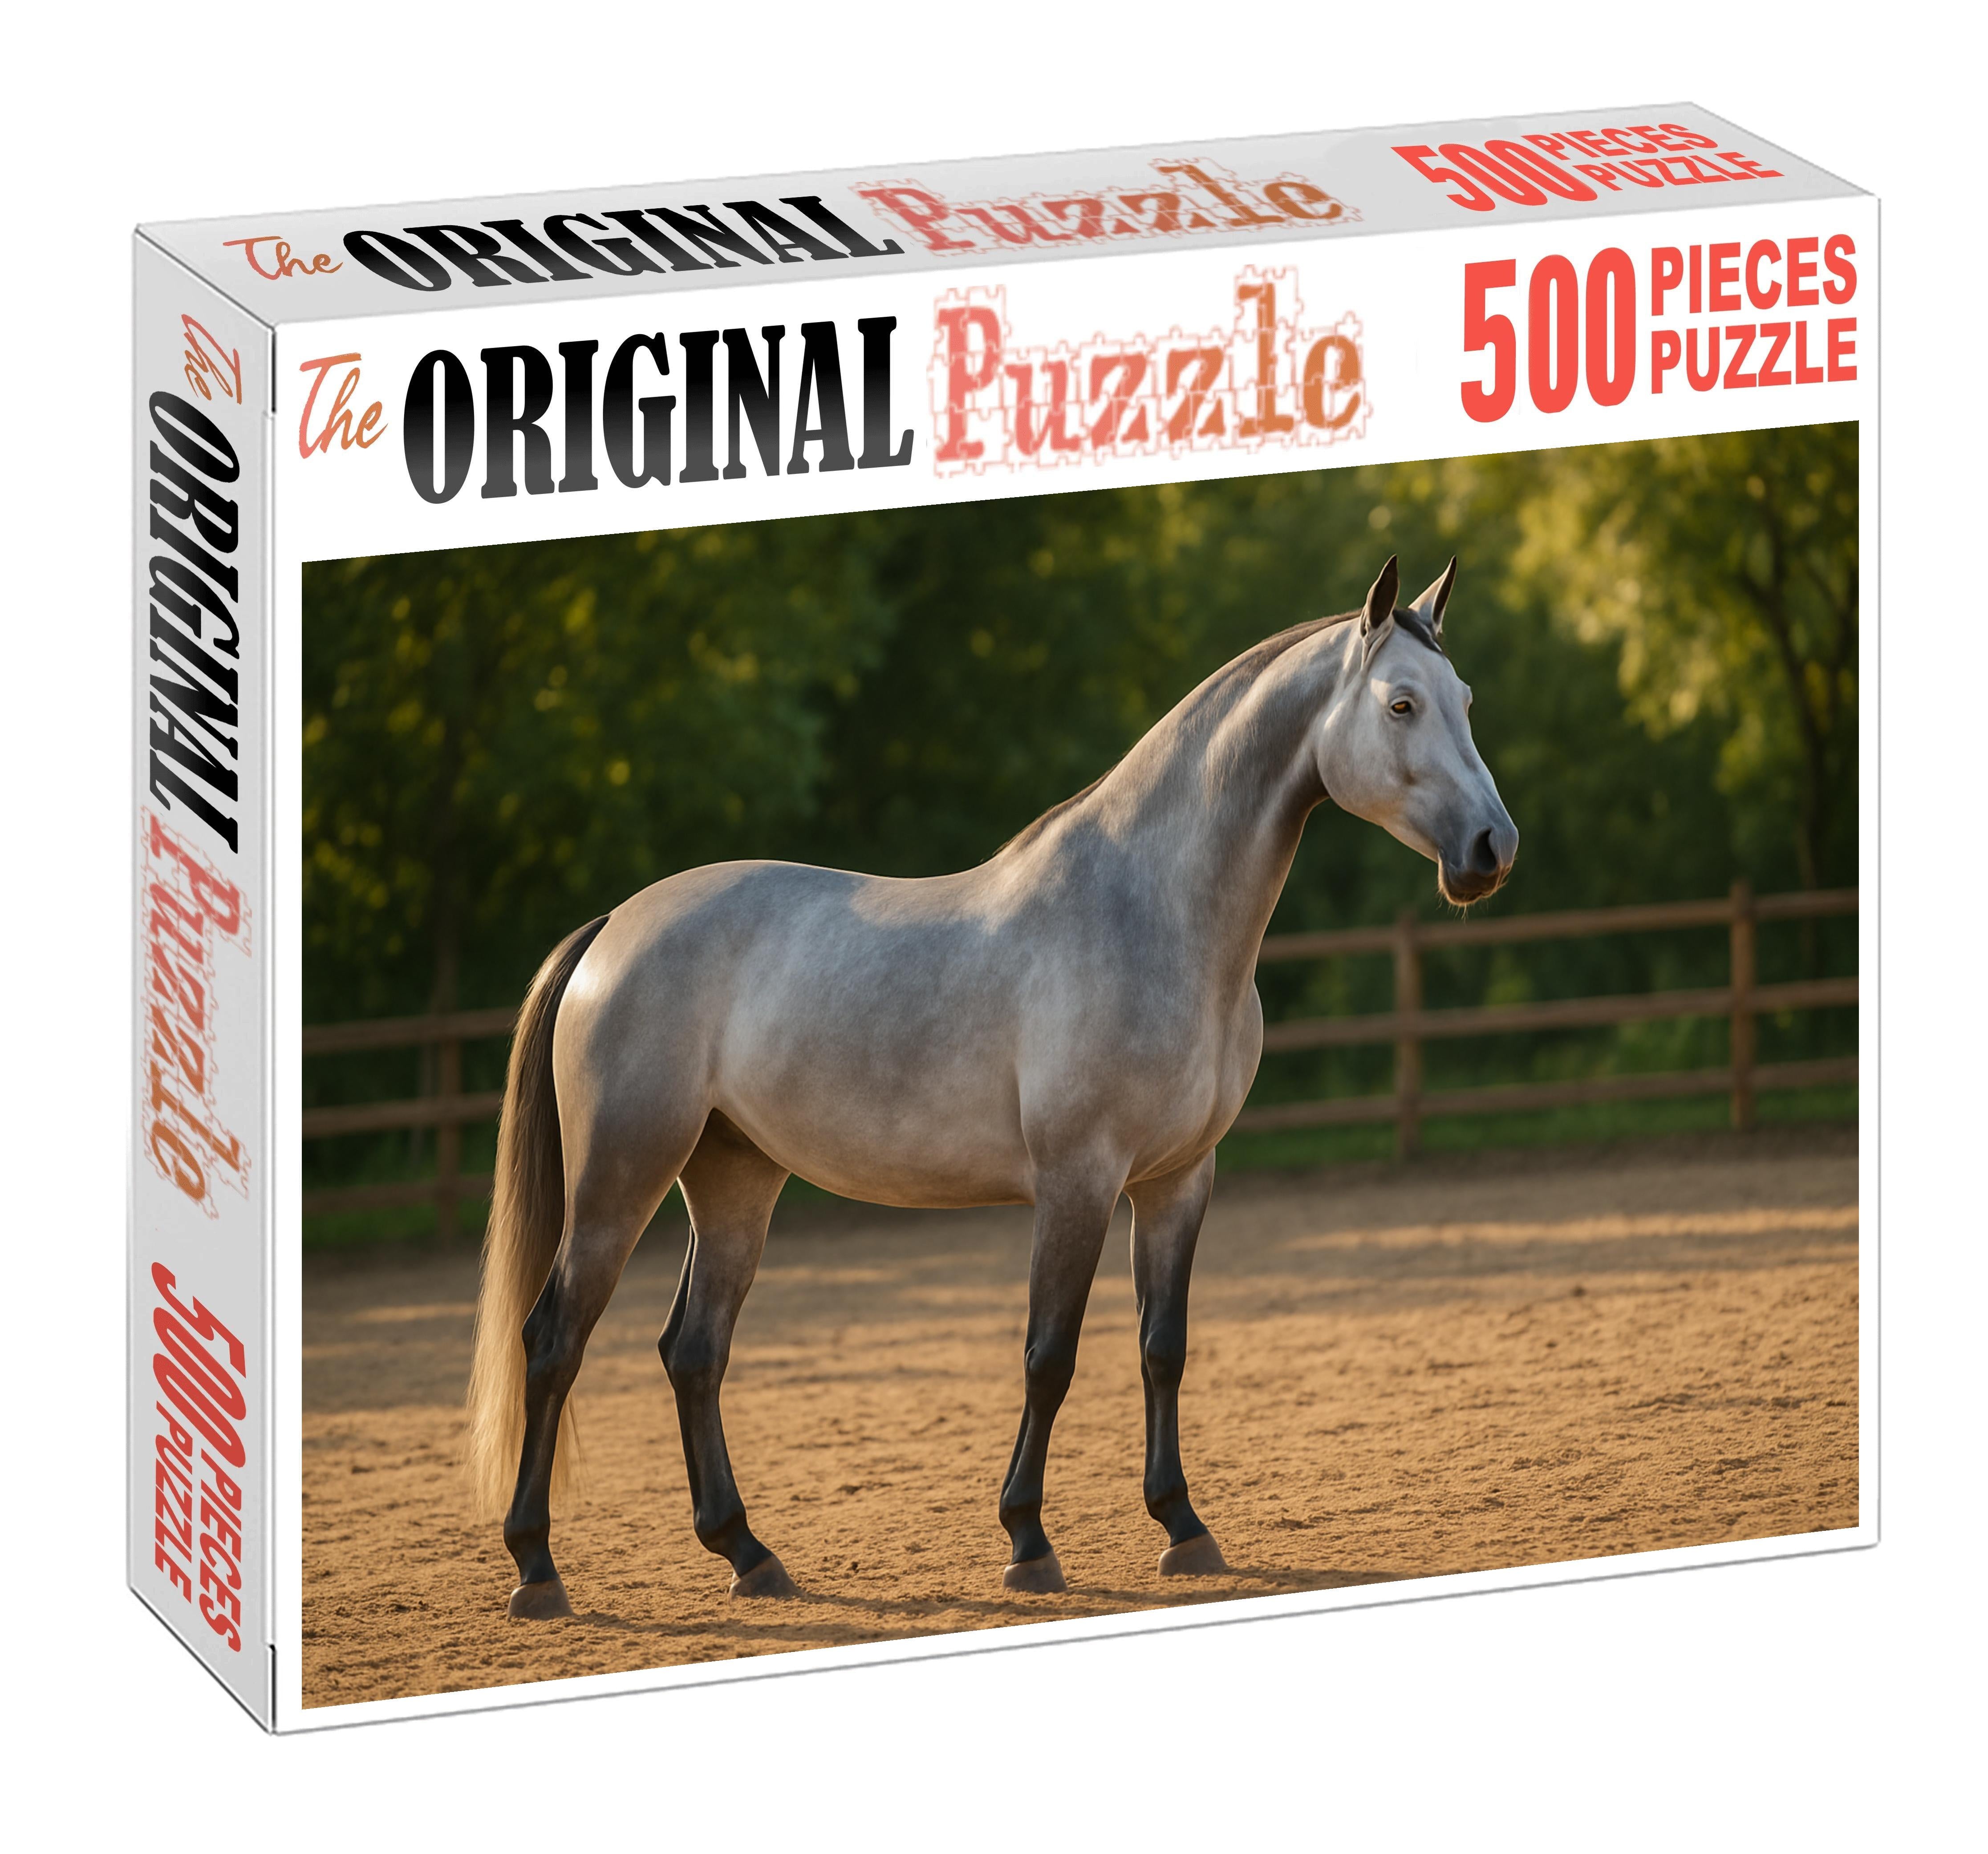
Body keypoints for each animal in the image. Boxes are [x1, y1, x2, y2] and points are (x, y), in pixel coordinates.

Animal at [465, 554, 1518, 1618]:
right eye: (1400, 703)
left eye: (1469, 700)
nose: (1492, 849)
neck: (1150, 914)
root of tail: (612, 927)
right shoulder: (1078, 1181)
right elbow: (1049, 1356)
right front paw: (1027, 1542)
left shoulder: (1178, 1182)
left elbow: (1163, 1347)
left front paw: (1184, 1527)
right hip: (623, 1176)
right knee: (554, 1339)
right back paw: (537, 1568)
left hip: (733, 1177)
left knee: (694, 1351)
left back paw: (749, 1555)